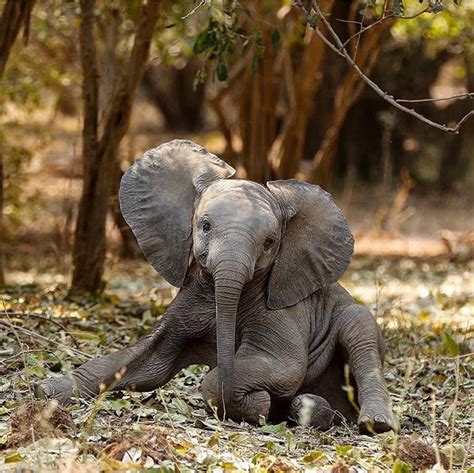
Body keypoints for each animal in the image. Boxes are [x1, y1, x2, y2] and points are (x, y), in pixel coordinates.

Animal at [36, 141, 396, 436]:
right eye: (205, 226)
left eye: (270, 243)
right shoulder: (189, 297)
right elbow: (148, 362)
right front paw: (46, 391)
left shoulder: (283, 311)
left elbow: (282, 367)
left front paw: (258, 405)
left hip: (355, 328)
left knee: (359, 332)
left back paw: (371, 422)